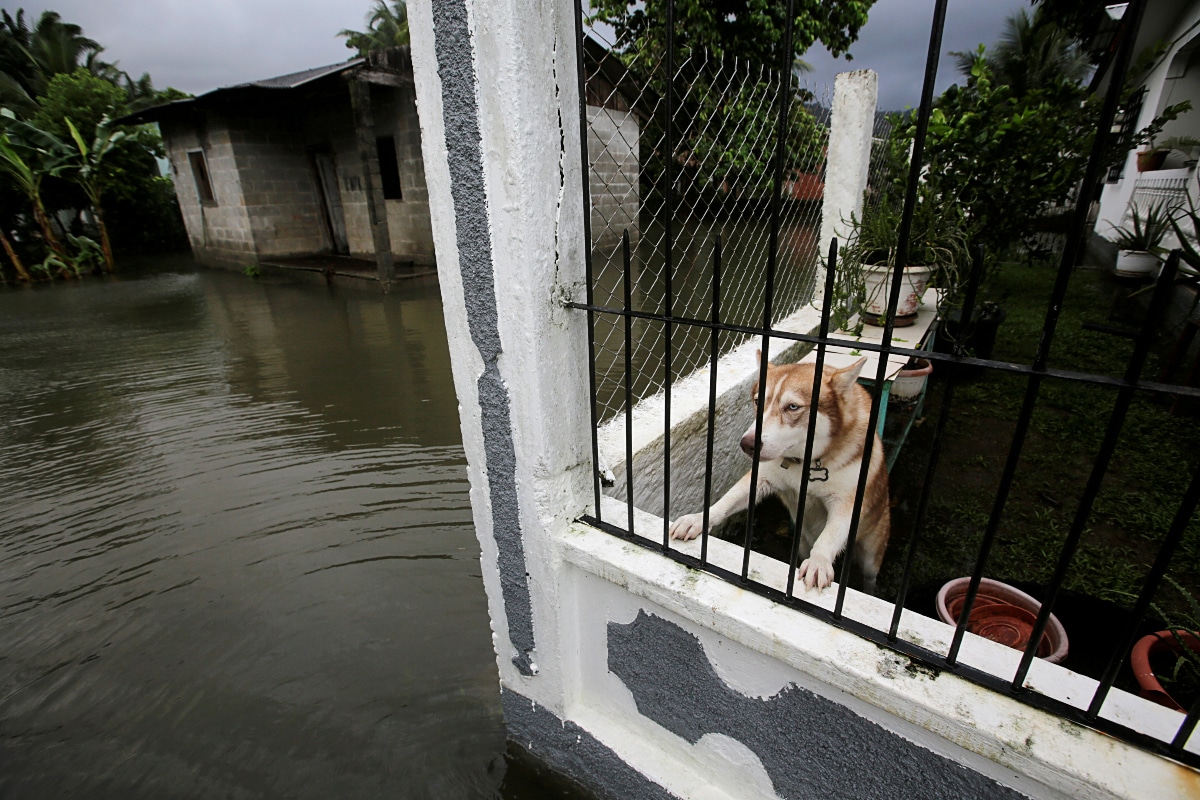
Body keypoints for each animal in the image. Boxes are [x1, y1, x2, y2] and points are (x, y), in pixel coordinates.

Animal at [672, 357, 888, 594]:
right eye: (758, 401)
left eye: (793, 407)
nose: (747, 444)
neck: (804, 464)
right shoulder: (760, 477)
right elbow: (727, 501)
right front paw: (698, 519)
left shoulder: (846, 502)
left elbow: (829, 536)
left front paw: (819, 562)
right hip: (801, 543)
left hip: (870, 554)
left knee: (869, 577)